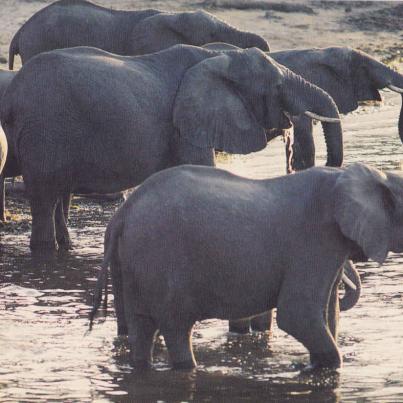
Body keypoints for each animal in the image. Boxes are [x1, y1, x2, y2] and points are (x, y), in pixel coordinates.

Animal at [0, 44, 344, 252]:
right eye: (276, 86)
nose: (302, 163)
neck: (218, 55)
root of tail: (13, 94)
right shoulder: (187, 123)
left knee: (59, 194)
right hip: (45, 130)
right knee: (44, 196)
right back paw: (45, 252)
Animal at [89, 163, 403, 370]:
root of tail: (123, 213)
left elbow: (328, 312)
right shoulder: (315, 240)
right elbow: (296, 314)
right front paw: (321, 367)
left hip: (137, 261)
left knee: (143, 328)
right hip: (160, 259)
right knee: (176, 326)